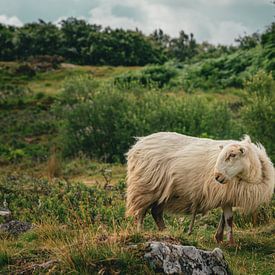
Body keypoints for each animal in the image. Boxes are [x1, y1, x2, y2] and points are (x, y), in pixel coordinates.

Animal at [126, 133, 274, 245]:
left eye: (232, 155)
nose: (217, 176)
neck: (252, 177)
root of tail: (138, 144)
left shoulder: (227, 196)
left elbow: (223, 218)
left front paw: (219, 238)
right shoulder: (225, 194)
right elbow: (229, 219)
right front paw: (231, 243)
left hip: (163, 192)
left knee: (156, 212)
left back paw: (165, 231)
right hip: (144, 187)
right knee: (141, 212)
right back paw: (140, 232)